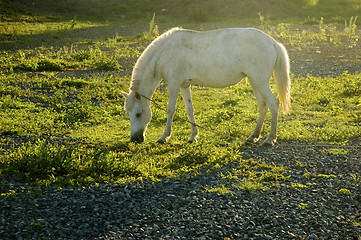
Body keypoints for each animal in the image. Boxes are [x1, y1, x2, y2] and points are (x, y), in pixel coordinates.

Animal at [121, 27, 290, 145]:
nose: (135, 139)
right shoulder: (184, 86)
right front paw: (193, 136)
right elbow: (189, 110)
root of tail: (272, 42)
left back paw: (270, 139)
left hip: (260, 82)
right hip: (254, 81)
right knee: (263, 106)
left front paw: (164, 137)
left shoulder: (174, 84)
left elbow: (170, 110)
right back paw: (253, 136)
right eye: (128, 114)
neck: (165, 51)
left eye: (138, 114)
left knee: (273, 104)